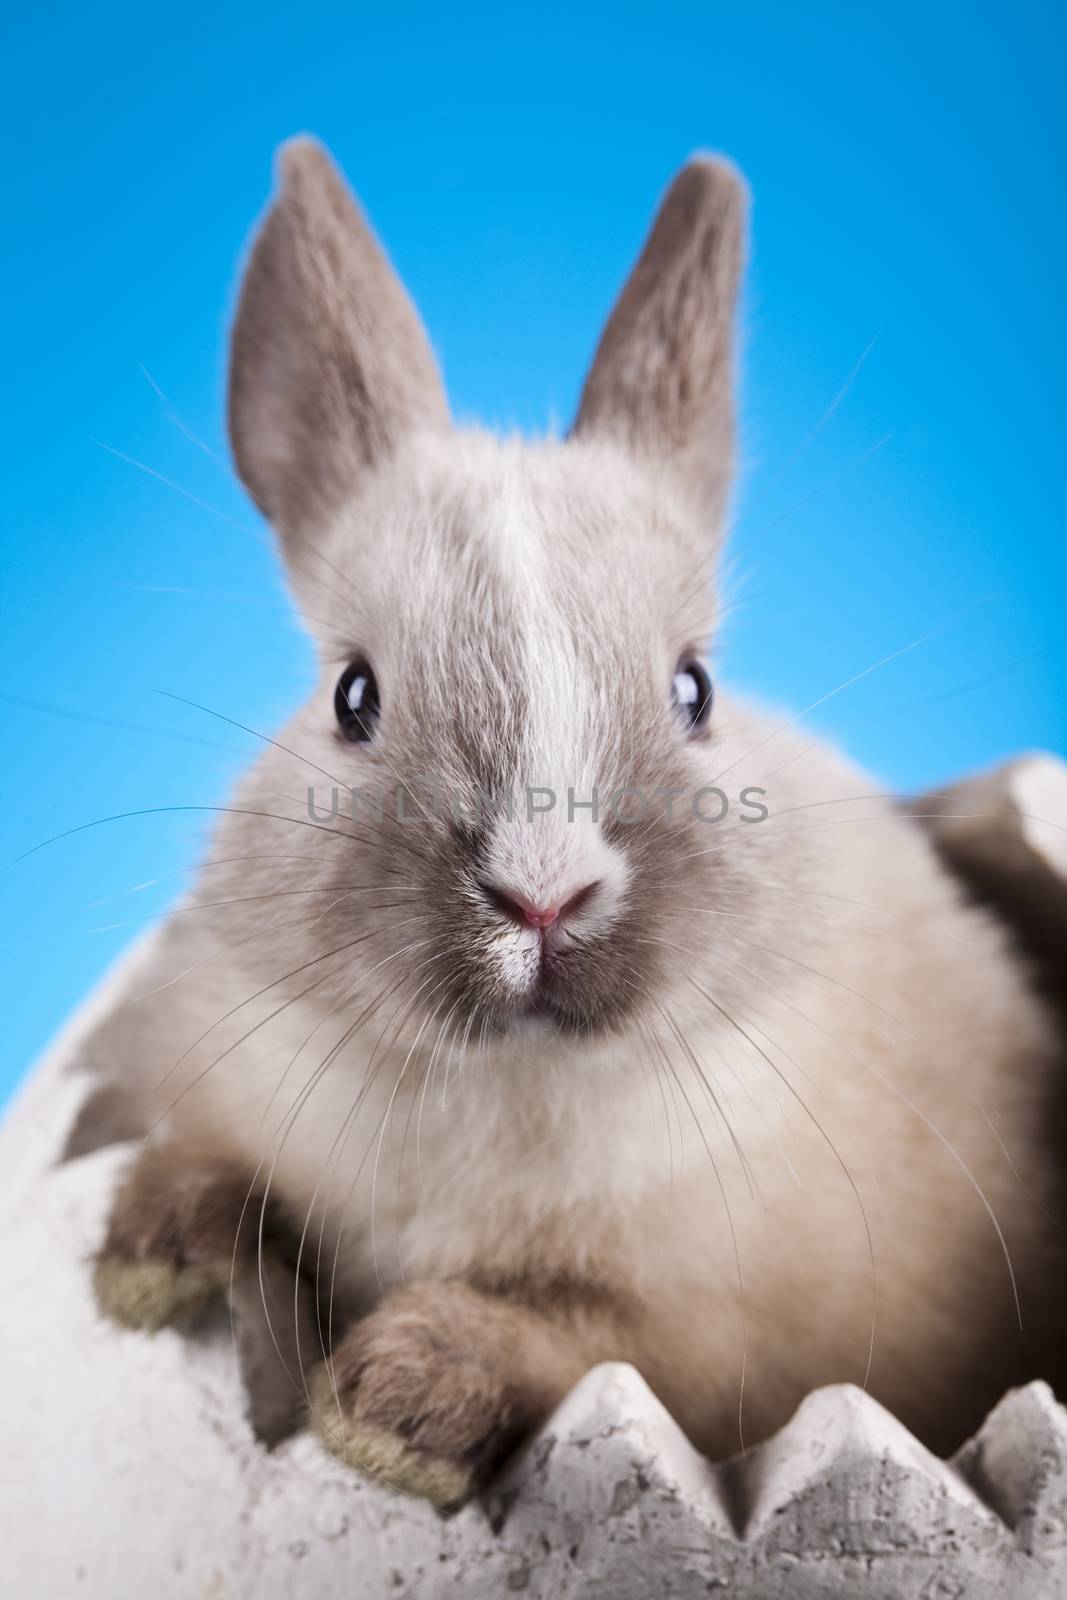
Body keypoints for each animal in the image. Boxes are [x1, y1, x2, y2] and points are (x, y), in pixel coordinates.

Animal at [87, 140, 1062, 1510]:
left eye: (693, 689)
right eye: (352, 696)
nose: (542, 892)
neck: (503, 1077)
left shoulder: (700, 1344)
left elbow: (569, 1342)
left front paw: (390, 1407)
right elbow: (216, 1168)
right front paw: (150, 1254)